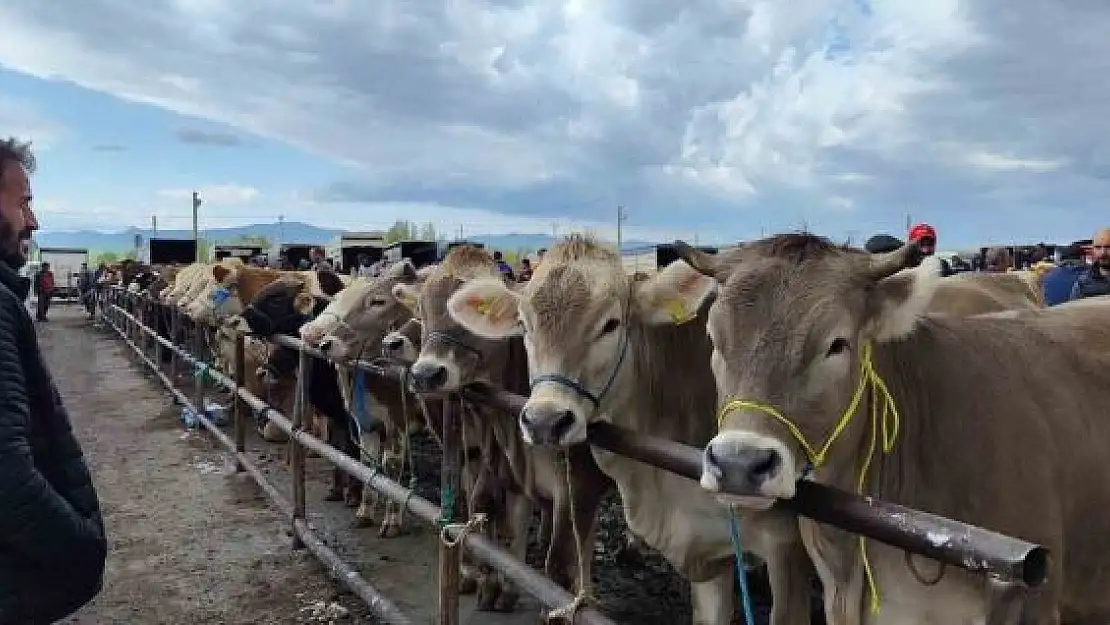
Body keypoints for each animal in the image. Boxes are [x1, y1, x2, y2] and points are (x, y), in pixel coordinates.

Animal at [390, 245, 617, 617]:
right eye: (421, 309)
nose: (426, 374)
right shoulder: (500, 465)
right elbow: (493, 514)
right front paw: (493, 583)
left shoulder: (576, 482)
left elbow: (561, 556)